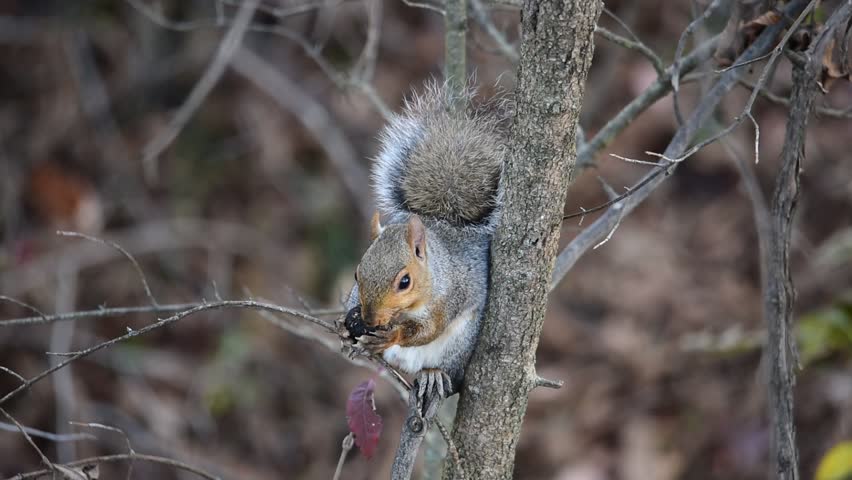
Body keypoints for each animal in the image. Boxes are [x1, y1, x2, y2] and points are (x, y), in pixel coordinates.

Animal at [340, 82, 507, 411]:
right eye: (356, 274)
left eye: (405, 282)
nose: (369, 320)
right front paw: (345, 324)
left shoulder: (449, 295)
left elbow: (428, 330)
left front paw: (391, 335)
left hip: (457, 348)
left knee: (441, 366)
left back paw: (432, 375)